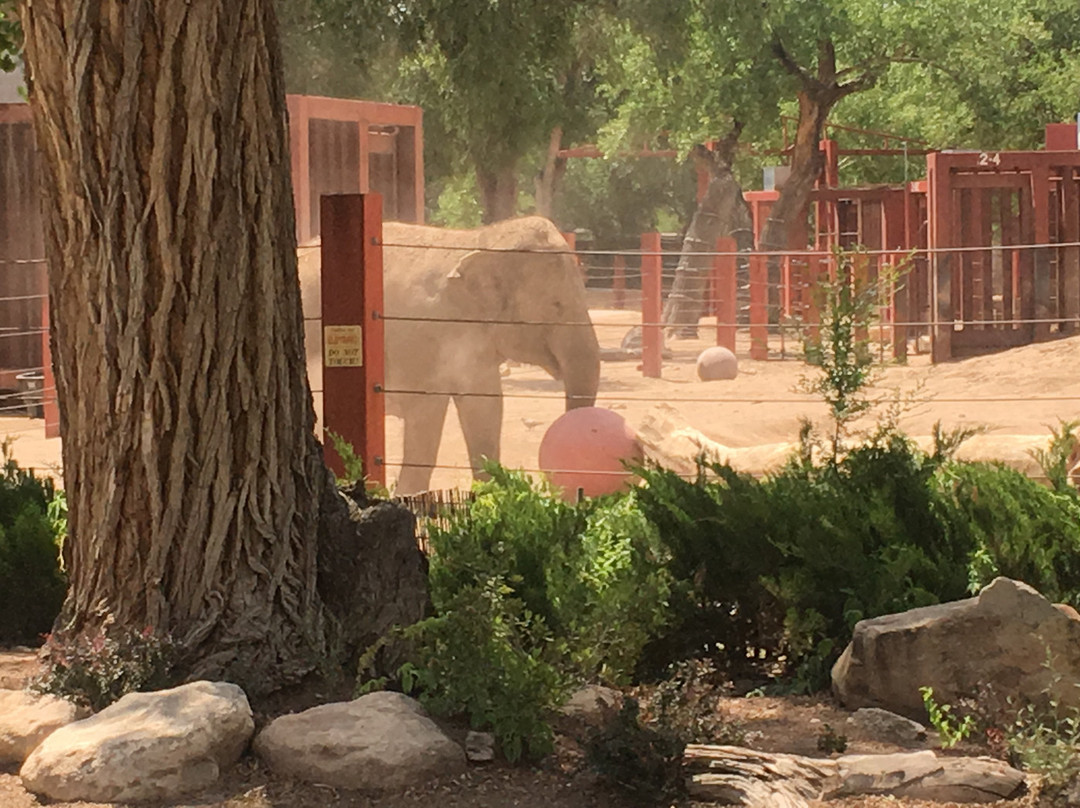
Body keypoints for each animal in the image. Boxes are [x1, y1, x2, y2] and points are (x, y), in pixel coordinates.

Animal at [378, 216, 600, 492]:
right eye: (556, 306)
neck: (479, 240)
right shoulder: (419, 340)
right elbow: (425, 415)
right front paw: (408, 496)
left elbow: (485, 408)